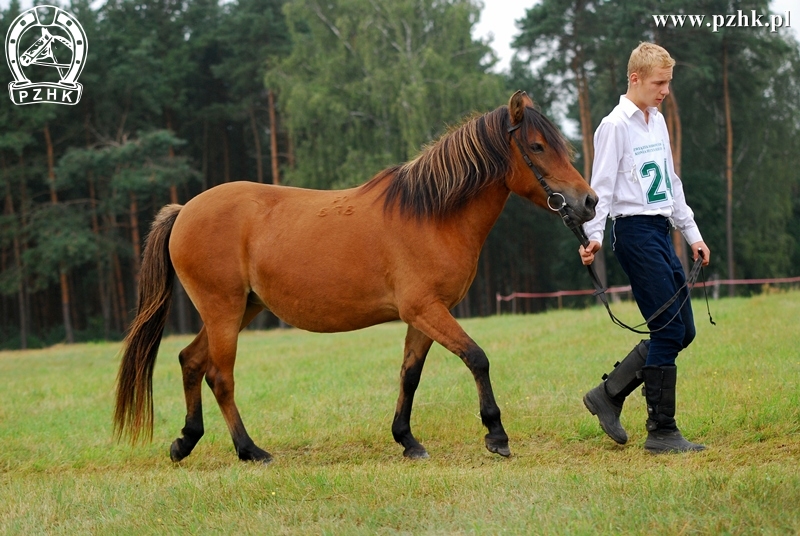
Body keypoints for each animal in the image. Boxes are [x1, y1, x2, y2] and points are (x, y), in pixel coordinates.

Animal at [115, 91, 596, 460]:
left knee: (190, 361)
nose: (588, 202)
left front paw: (407, 440)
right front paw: (496, 435)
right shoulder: (426, 309)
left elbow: (409, 375)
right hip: (223, 310)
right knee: (220, 376)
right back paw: (250, 450)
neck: (431, 215)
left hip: (240, 309)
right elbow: (477, 358)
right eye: (537, 146)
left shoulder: (424, 315)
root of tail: (184, 211)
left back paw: (186, 441)